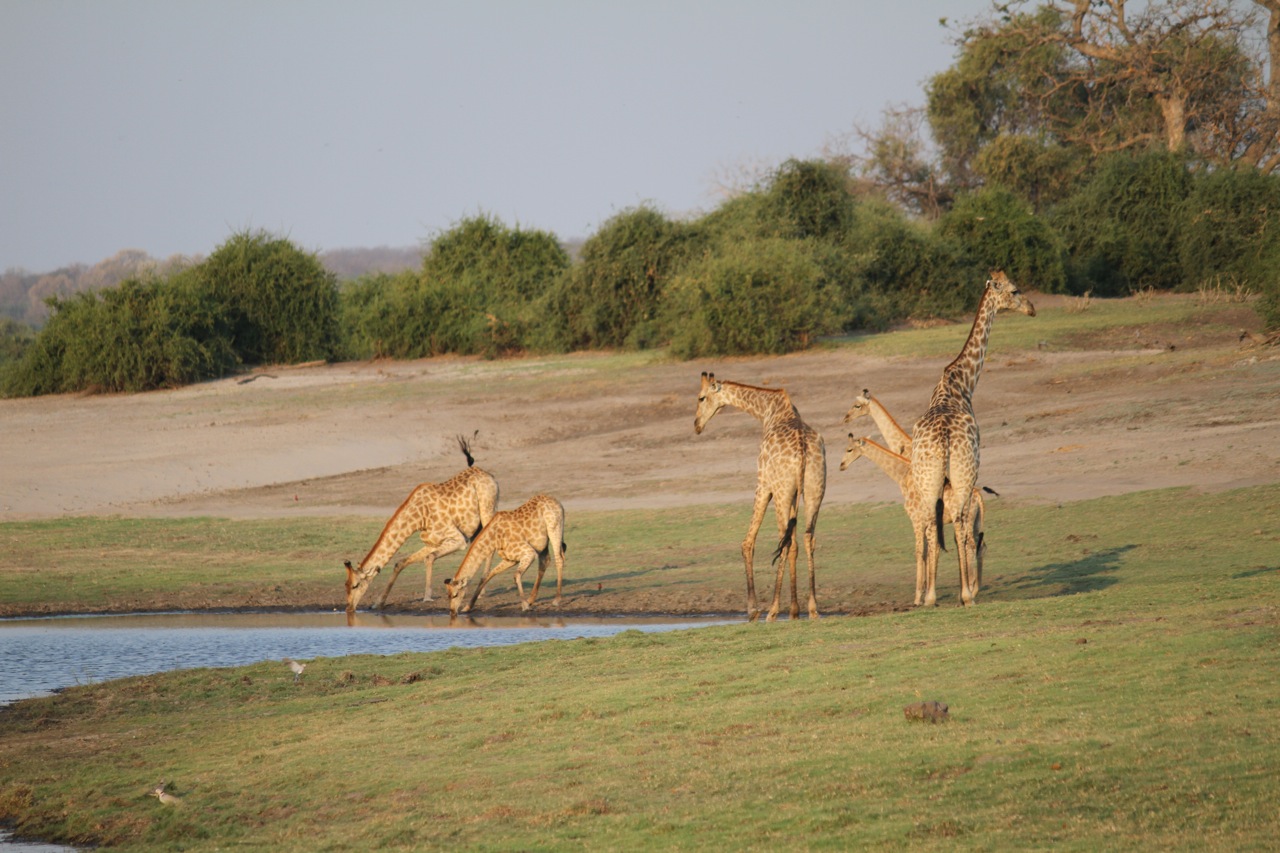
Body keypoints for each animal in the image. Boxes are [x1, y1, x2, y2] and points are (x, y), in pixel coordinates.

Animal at [343, 432, 496, 612]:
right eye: (345, 585)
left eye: (355, 585)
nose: (349, 608)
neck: (418, 518)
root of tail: (488, 475)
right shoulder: (432, 543)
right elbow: (401, 562)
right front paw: (378, 602)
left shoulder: (458, 540)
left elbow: (429, 558)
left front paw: (427, 597)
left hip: (487, 510)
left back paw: (483, 591)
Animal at [696, 371, 824, 617]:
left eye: (701, 397)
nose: (696, 425)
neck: (768, 411)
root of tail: (803, 449)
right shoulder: (793, 492)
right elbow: (793, 544)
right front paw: (794, 610)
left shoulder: (763, 483)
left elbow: (748, 542)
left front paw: (752, 609)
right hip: (815, 488)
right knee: (806, 538)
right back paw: (812, 609)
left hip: (781, 492)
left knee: (784, 542)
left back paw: (772, 610)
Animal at [839, 432, 988, 604]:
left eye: (849, 449)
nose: (841, 465)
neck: (903, 477)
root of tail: (978, 497)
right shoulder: (926, 523)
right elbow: (928, 552)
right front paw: (926, 592)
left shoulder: (916, 520)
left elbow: (919, 552)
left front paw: (918, 598)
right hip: (976, 521)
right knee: (980, 545)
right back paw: (972, 590)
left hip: (966, 520)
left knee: (970, 545)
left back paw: (970, 590)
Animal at [906, 272, 1034, 604]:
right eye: (1015, 290)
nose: (1032, 308)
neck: (963, 383)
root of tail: (942, 438)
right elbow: (963, 528)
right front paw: (966, 592)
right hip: (964, 473)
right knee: (962, 523)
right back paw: (966, 594)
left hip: (927, 478)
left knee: (930, 523)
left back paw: (929, 597)